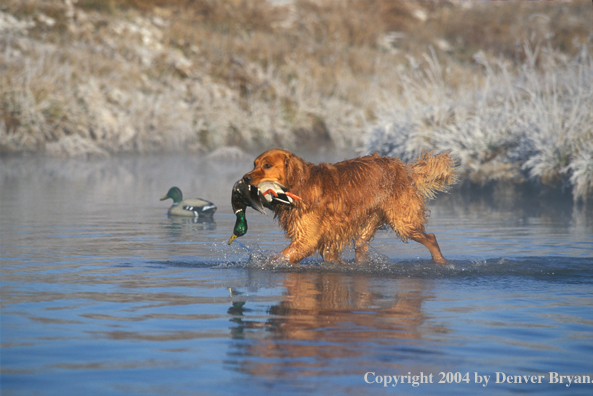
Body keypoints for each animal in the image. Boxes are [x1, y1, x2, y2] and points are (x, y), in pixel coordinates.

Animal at [243, 150, 456, 264]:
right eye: (254, 164)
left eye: (267, 165)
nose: (245, 178)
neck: (299, 186)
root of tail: (404, 169)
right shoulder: (327, 242)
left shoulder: (307, 240)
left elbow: (281, 257)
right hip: (367, 224)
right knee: (362, 246)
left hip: (403, 221)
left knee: (431, 238)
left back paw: (441, 262)